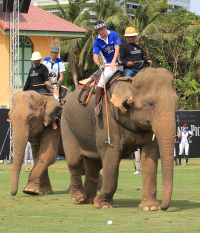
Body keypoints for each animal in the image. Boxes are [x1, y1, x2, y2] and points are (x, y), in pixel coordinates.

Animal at [61, 67, 178, 211]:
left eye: (176, 102)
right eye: (150, 104)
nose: (163, 207)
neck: (130, 81)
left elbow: (150, 156)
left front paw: (149, 207)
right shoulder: (107, 120)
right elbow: (111, 155)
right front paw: (104, 205)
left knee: (94, 164)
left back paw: (89, 200)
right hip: (66, 126)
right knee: (74, 161)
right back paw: (78, 197)